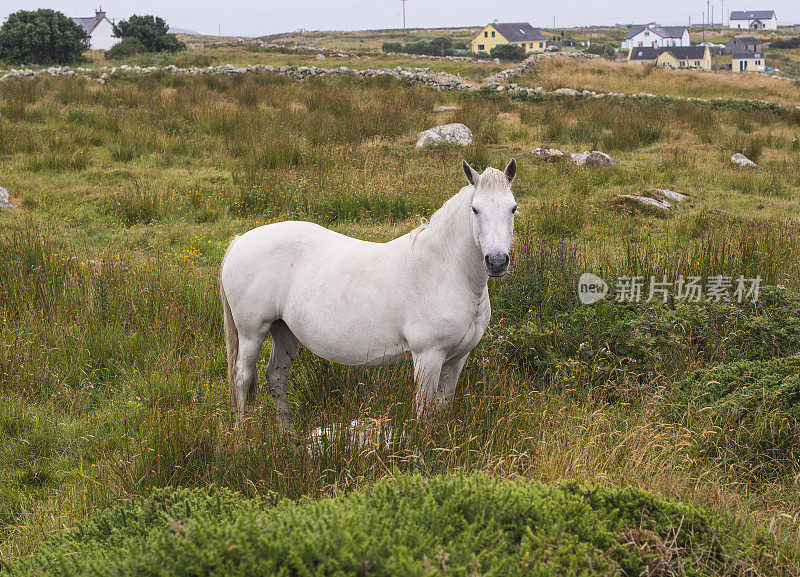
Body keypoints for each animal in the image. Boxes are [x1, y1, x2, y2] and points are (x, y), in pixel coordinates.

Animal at [219, 160, 520, 426]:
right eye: (475, 209)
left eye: (513, 208)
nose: (496, 261)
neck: (443, 269)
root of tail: (240, 240)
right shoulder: (428, 356)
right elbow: (424, 411)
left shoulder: (457, 359)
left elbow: (442, 408)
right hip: (252, 332)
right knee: (243, 378)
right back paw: (243, 434)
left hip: (284, 331)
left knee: (277, 377)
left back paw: (288, 436)